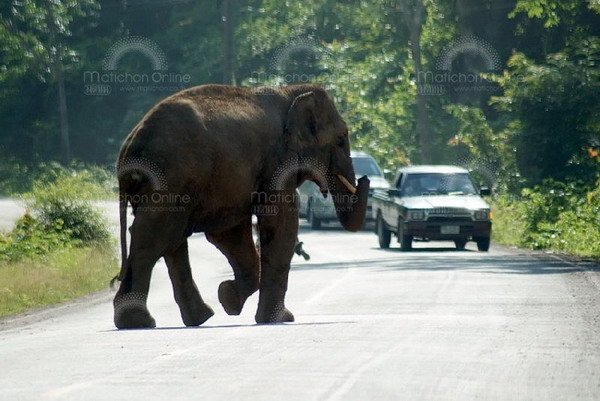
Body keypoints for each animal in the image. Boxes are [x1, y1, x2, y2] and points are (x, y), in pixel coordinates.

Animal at [110, 83, 368, 328]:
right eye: (341, 139)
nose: (365, 179)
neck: (290, 91)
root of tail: (129, 149)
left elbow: (229, 233)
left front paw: (228, 298)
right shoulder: (277, 162)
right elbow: (280, 225)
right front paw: (279, 318)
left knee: (170, 238)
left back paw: (198, 318)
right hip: (170, 177)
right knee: (154, 237)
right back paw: (139, 322)